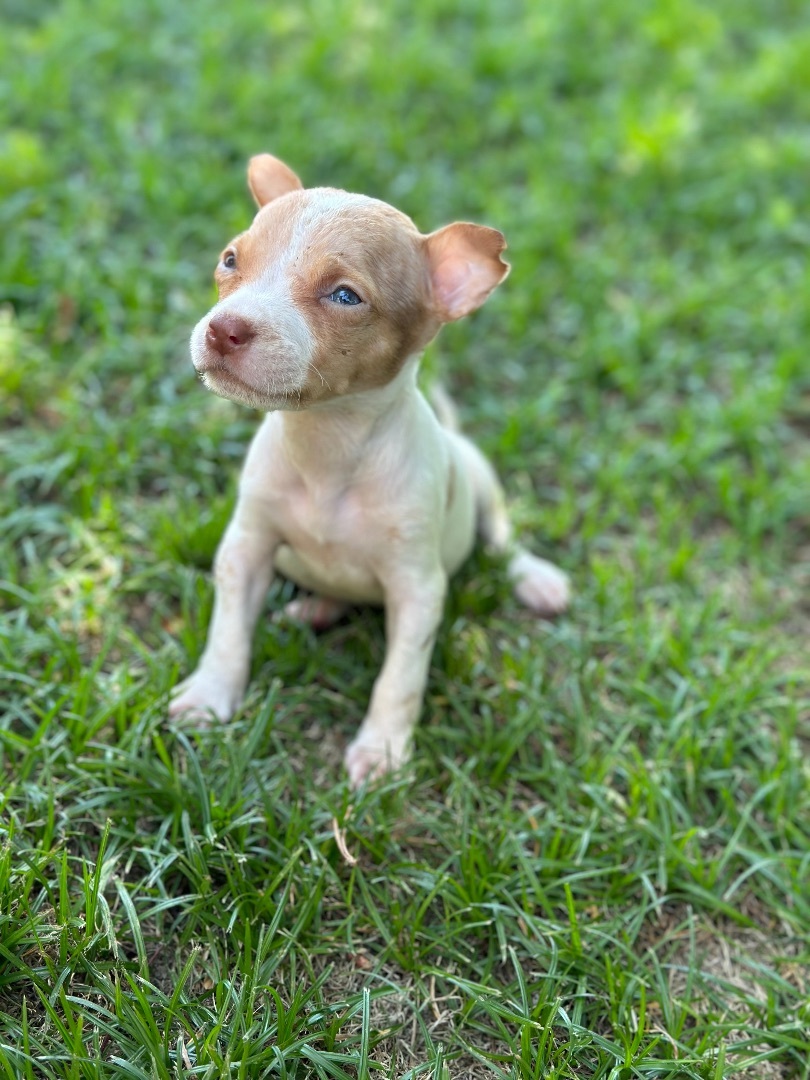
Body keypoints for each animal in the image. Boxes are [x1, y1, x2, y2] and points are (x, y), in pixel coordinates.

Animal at [169, 152, 570, 786]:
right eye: (231, 260)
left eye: (344, 296)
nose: (223, 329)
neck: (326, 444)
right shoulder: (246, 548)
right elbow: (227, 630)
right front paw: (211, 694)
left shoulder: (418, 590)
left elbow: (399, 678)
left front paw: (381, 751)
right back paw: (314, 608)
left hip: (481, 483)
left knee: (503, 539)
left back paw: (536, 578)